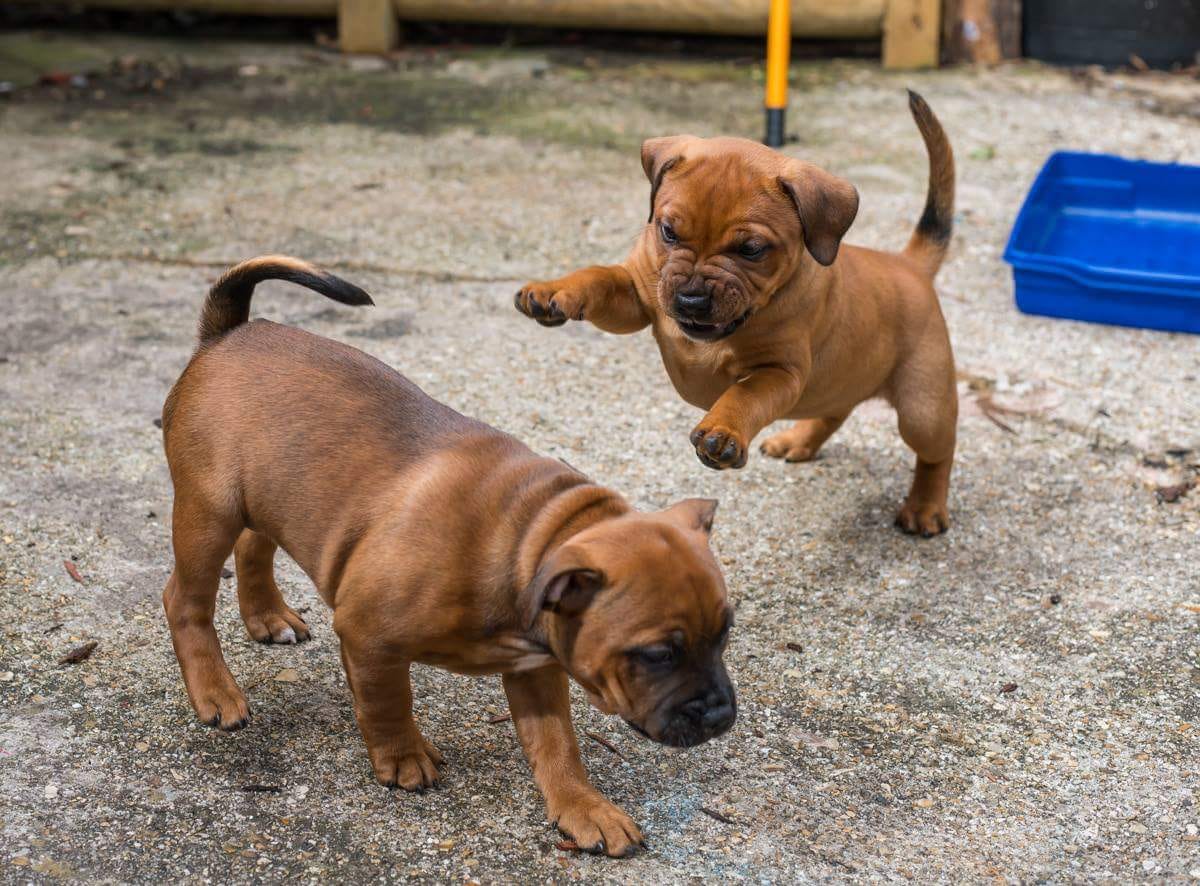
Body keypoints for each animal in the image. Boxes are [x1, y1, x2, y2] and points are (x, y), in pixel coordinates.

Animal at [164, 256, 734, 854]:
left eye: (725, 635)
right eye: (657, 654)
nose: (722, 713)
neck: (526, 537)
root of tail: (228, 334)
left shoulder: (536, 671)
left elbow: (557, 744)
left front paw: (583, 806)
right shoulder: (369, 637)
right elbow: (388, 701)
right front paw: (403, 757)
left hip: (273, 494)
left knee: (255, 544)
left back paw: (268, 616)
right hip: (208, 513)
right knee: (185, 601)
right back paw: (215, 691)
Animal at [513, 91, 955, 530]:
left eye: (751, 249)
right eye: (668, 231)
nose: (690, 300)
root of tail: (908, 265)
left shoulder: (778, 372)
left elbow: (744, 395)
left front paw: (723, 432)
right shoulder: (637, 295)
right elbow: (598, 277)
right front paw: (553, 290)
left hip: (922, 410)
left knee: (937, 453)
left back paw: (924, 508)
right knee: (836, 410)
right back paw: (797, 440)